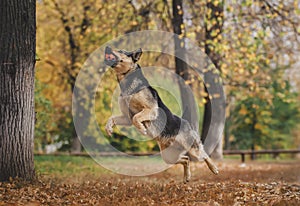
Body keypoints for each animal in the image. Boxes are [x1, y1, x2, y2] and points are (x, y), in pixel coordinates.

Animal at [103, 46, 218, 182]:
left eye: (121, 51)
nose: (107, 47)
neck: (128, 81)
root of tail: (188, 124)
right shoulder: (126, 118)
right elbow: (112, 118)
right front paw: (109, 129)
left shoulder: (151, 110)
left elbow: (137, 117)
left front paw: (142, 129)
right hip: (169, 156)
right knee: (186, 159)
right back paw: (187, 176)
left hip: (193, 150)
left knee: (204, 155)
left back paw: (214, 168)